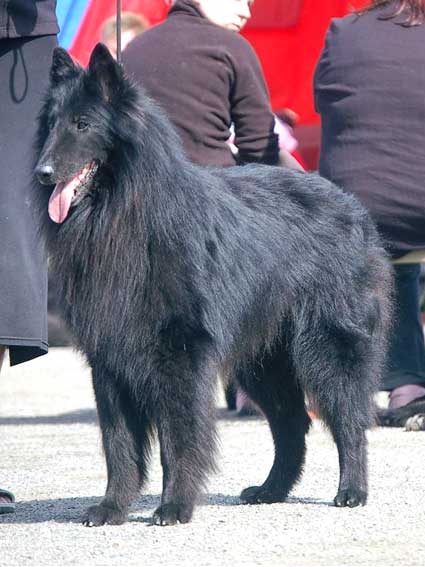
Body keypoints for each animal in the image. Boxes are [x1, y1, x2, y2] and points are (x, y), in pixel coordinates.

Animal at [34, 44, 392, 528]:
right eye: (51, 123)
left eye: (82, 124)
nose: (42, 171)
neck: (123, 214)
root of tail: (351, 204)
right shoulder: (109, 361)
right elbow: (118, 443)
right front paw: (112, 507)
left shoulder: (181, 357)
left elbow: (179, 437)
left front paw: (174, 506)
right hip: (263, 365)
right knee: (292, 425)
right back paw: (271, 490)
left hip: (328, 349)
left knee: (350, 420)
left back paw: (352, 490)